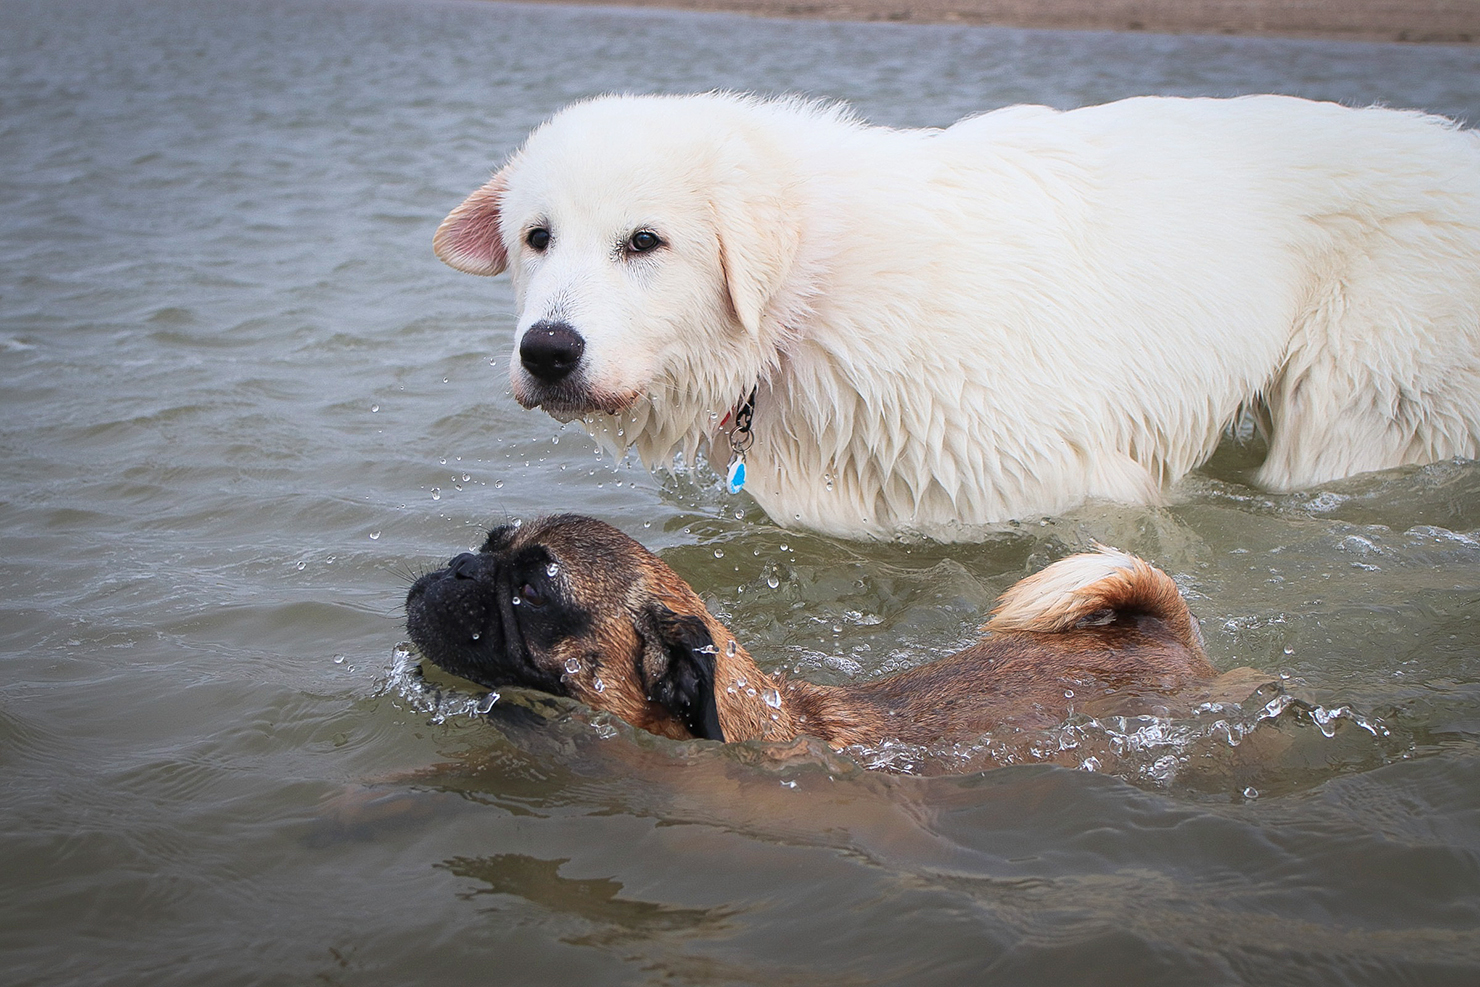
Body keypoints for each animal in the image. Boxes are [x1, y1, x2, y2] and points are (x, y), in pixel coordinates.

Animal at [432, 92, 1480, 541]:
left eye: (644, 242)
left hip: (1362, 404)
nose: (548, 350)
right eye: (536, 238)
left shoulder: (1080, 482)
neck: (814, 297)